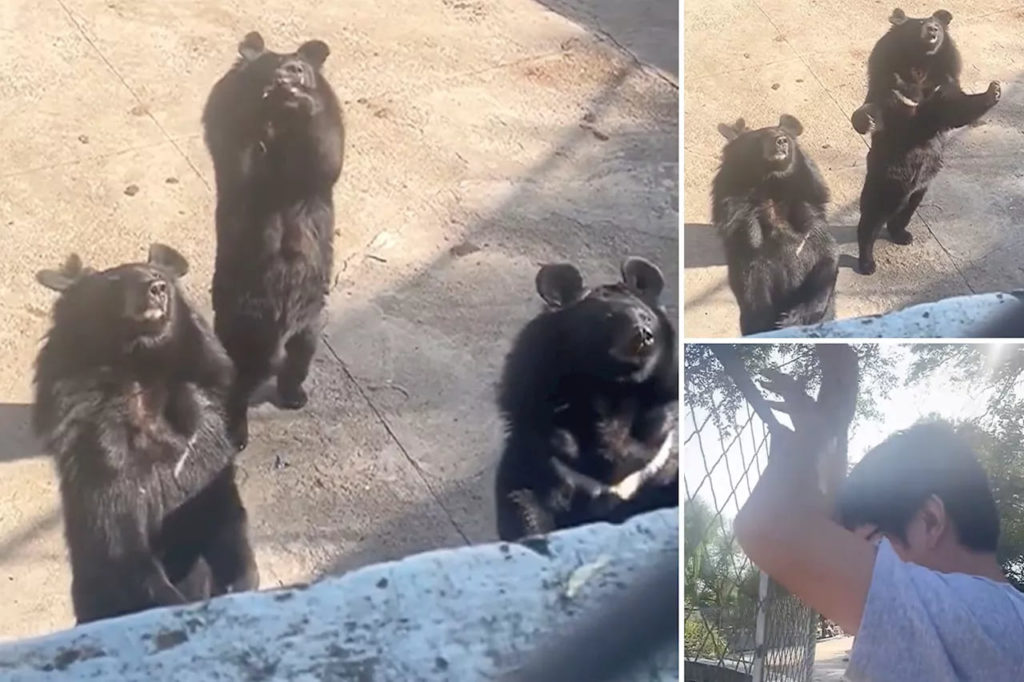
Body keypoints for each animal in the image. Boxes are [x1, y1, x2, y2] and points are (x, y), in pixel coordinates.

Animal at [33, 244, 258, 624]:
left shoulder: (205, 444)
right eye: (112, 281)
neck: (144, 369)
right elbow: (121, 546)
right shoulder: (102, 455)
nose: (156, 288)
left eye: (160, 276)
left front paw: (240, 584)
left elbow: (223, 513)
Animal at [202, 31, 345, 450]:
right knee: (242, 375)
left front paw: (303, 102)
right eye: (269, 67)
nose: (289, 76)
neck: (283, 125)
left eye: (301, 66)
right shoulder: (235, 132)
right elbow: (236, 147)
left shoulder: (314, 159)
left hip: (312, 318)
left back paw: (294, 394)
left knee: (300, 356)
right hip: (249, 318)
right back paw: (237, 429)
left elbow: (327, 153)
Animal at [494, 258, 678, 542]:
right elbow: (525, 499)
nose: (643, 336)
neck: (612, 389)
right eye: (608, 318)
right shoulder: (543, 453)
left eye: (646, 317)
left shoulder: (659, 457)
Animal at [711, 114, 839, 335]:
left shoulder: (813, 229)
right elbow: (751, 286)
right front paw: (768, 323)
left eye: (785, 135)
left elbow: (827, 262)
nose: (781, 141)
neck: (772, 188)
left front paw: (790, 319)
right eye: (758, 137)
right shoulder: (746, 241)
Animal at [856, 69, 1001, 275]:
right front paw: (864, 119)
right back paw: (867, 261)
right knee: (876, 215)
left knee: (907, 208)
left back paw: (901, 234)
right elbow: (880, 110)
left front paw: (994, 90)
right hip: (889, 181)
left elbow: (958, 111)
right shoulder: (896, 110)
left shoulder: (934, 114)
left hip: (918, 186)